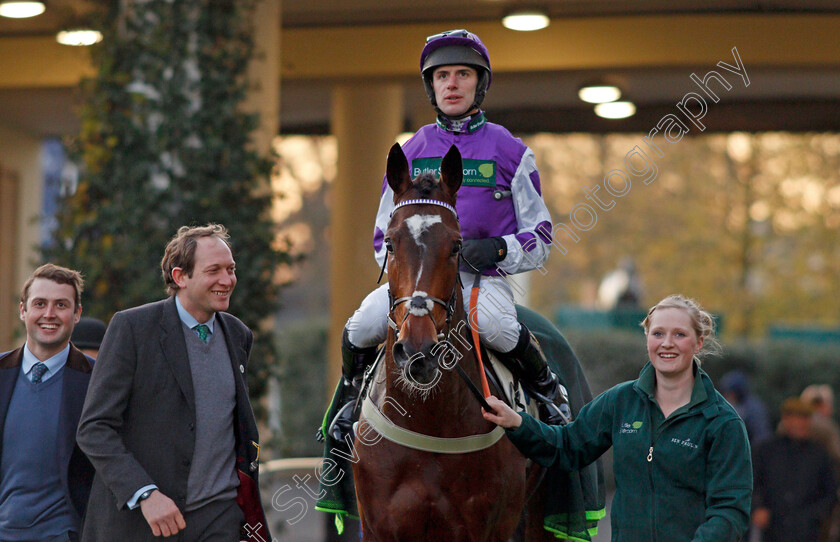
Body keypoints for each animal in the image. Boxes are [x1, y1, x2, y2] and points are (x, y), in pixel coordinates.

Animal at [352, 143, 548, 542]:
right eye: (390, 242)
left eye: (457, 245)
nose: (418, 352)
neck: (427, 421)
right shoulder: (378, 526)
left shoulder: (489, 528)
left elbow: (538, 231)